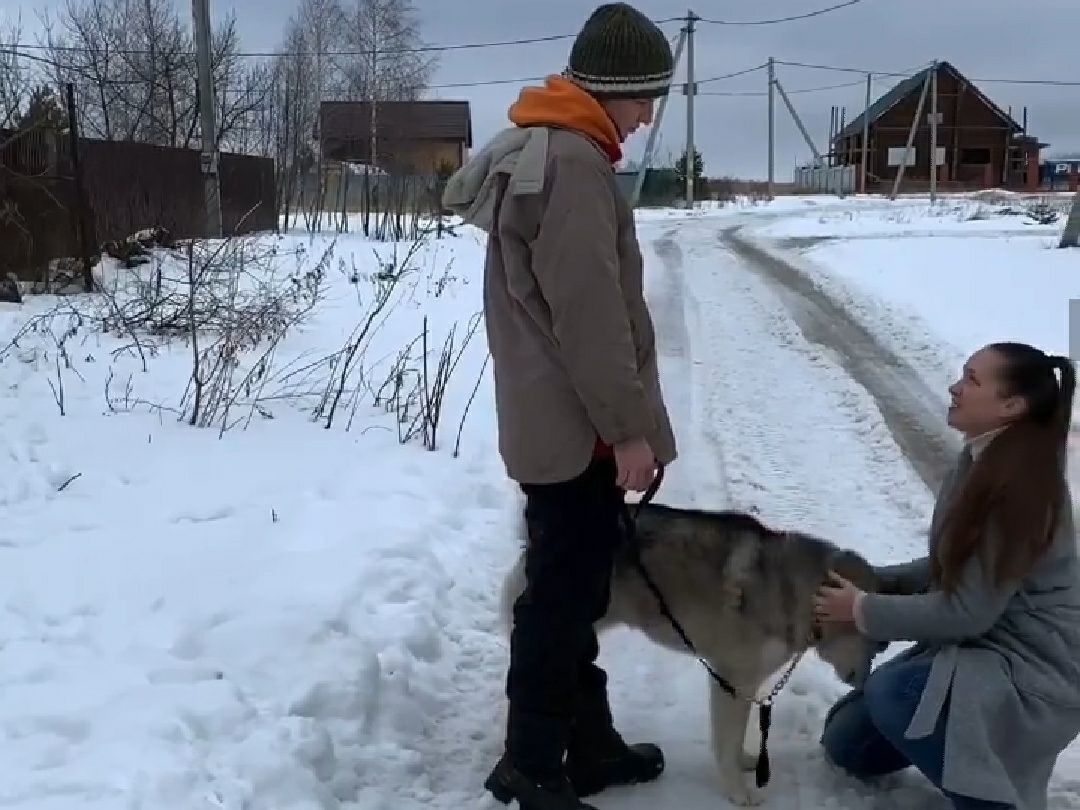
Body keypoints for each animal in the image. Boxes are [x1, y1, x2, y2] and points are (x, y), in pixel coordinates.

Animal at [496, 501, 885, 807]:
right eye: (876, 643)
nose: (867, 684)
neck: (792, 593)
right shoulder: (732, 678)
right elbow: (727, 741)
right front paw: (738, 791)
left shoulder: (745, 683)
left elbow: (734, 739)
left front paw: (745, 759)